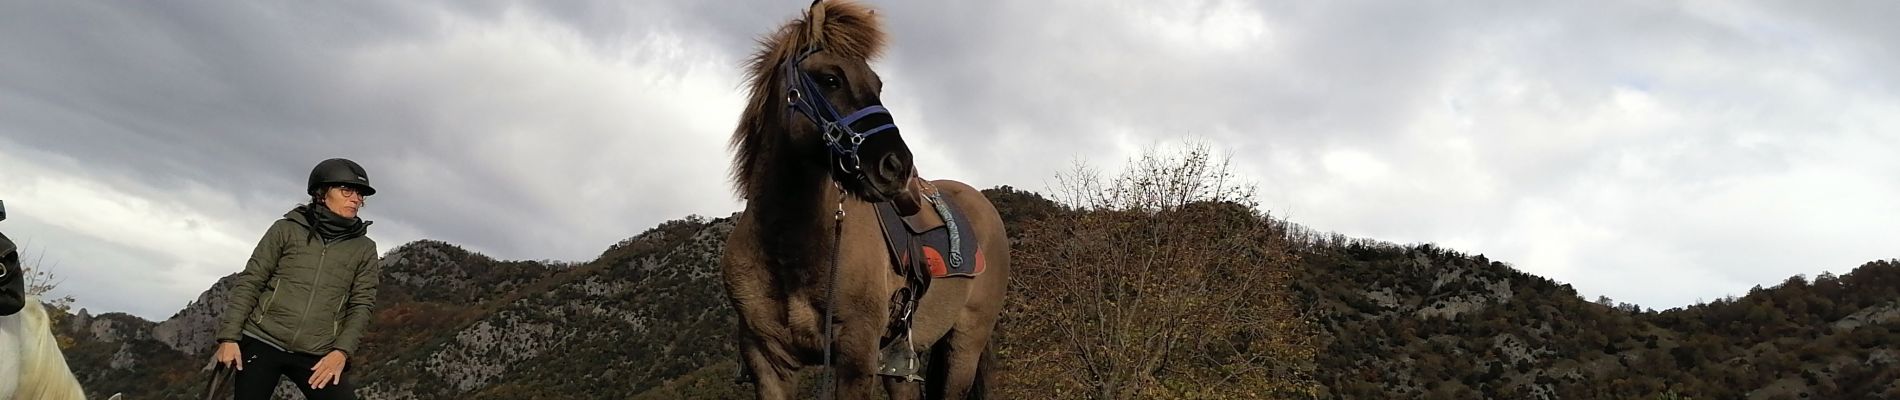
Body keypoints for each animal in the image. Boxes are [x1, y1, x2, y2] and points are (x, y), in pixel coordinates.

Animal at [718, 1, 1010, 398]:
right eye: (830, 79)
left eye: (878, 85)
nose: (896, 165)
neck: (788, 250)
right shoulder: (767, 363)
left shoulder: (856, 354)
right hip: (902, 364)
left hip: (964, 347)